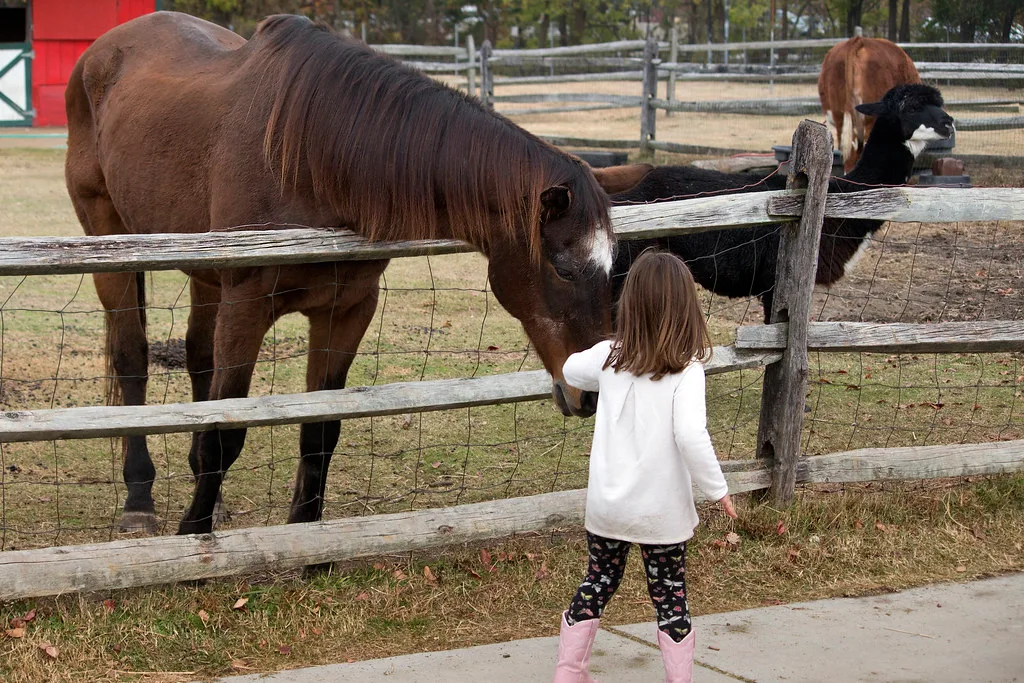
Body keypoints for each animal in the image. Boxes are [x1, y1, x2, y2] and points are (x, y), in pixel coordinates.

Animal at [65, 12, 618, 536]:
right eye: (564, 269)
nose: (590, 394)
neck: (311, 161)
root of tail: (100, 53)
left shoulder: (347, 309)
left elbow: (320, 431)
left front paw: (308, 542)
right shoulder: (246, 306)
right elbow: (227, 433)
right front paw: (194, 538)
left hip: (205, 271)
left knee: (199, 359)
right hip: (109, 237)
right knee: (132, 358)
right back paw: (139, 502)